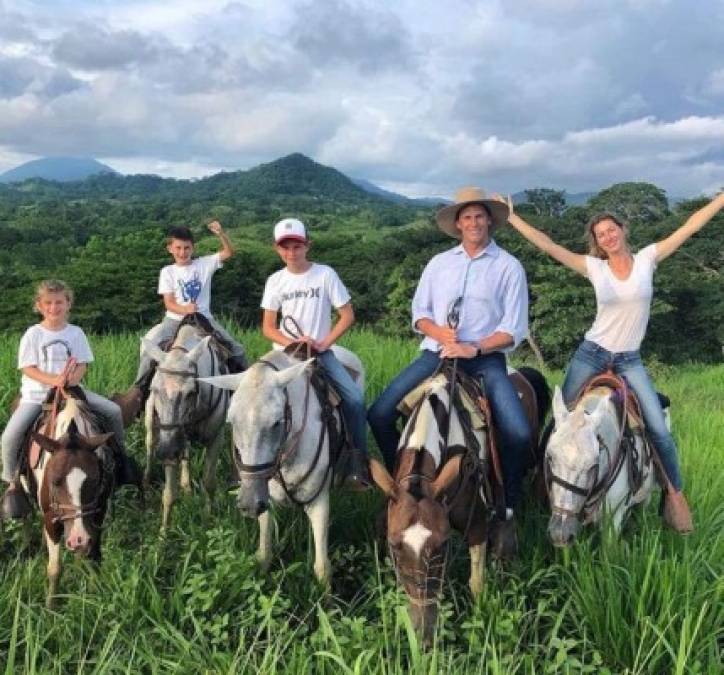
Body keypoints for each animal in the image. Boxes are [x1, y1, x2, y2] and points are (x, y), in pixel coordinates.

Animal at [141, 324, 229, 532]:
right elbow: (169, 493)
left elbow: (209, 482)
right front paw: (164, 534)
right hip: (152, 426)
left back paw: (187, 485)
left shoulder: (216, 438)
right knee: (150, 445)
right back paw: (147, 481)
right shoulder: (169, 439)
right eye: (154, 389)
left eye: (190, 393)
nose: (165, 451)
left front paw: (208, 520)